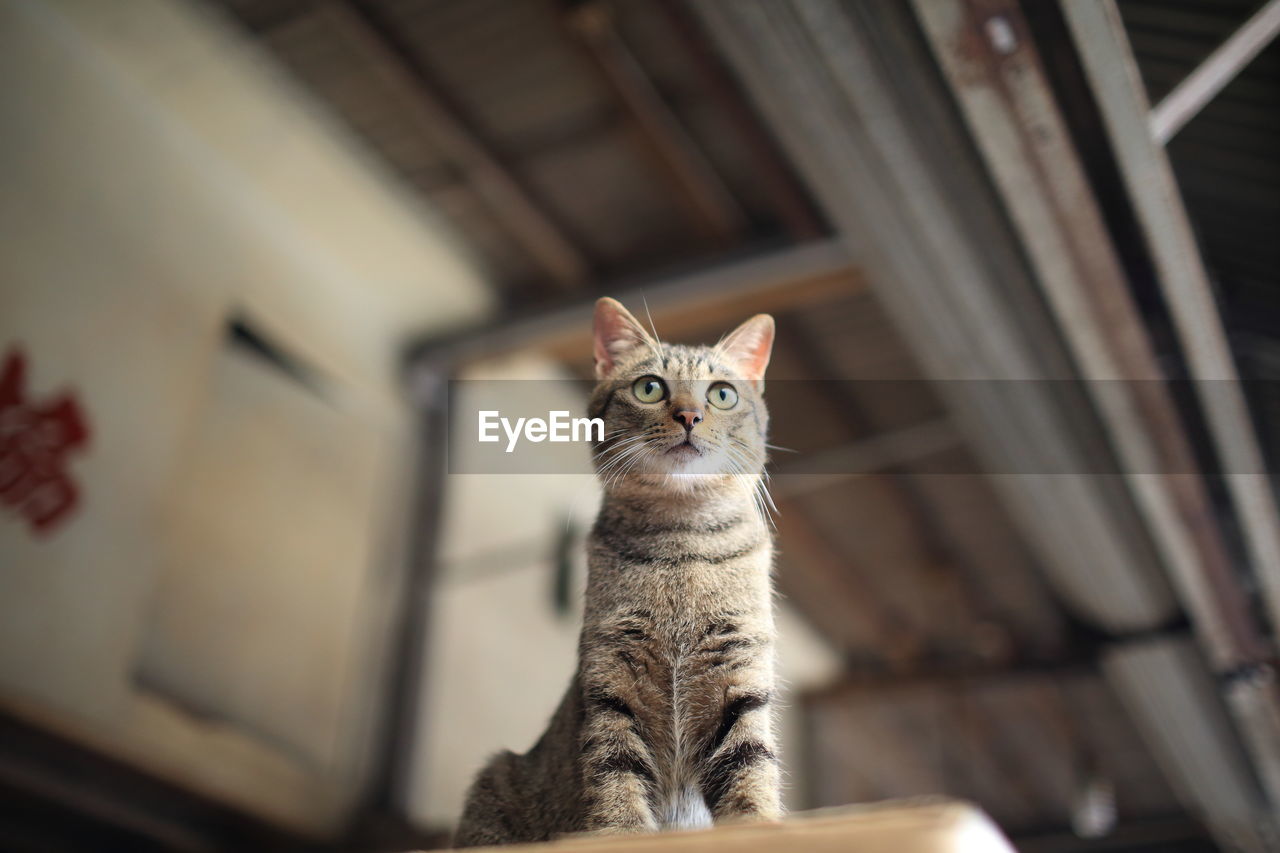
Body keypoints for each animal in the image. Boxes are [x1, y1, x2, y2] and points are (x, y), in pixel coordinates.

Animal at [453, 298, 778, 845]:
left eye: (722, 393)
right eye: (650, 388)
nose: (689, 414)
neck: (680, 542)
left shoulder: (740, 668)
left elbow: (752, 764)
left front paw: (760, 828)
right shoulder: (611, 677)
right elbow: (614, 772)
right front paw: (621, 832)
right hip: (494, 780)